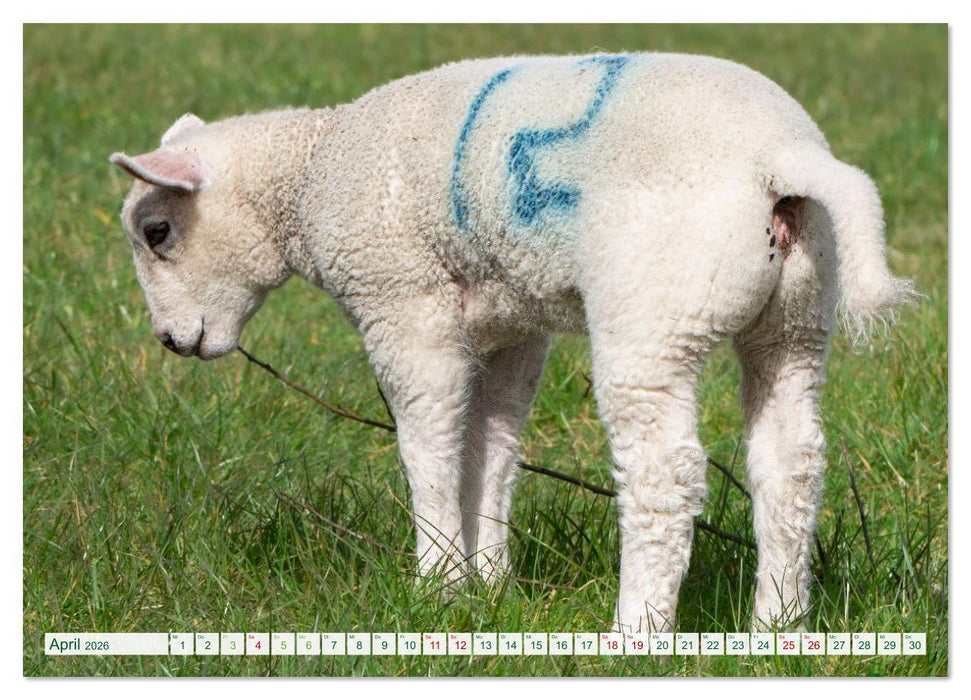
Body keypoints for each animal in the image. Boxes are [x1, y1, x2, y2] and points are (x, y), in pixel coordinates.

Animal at [110, 52, 915, 633]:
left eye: (158, 232)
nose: (171, 341)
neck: (310, 174)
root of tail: (783, 158)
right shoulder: (509, 329)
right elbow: (491, 449)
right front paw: (488, 586)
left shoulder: (403, 306)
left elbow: (428, 447)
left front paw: (436, 586)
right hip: (798, 314)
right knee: (792, 462)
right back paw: (776, 626)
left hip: (653, 306)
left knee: (665, 473)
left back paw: (638, 631)